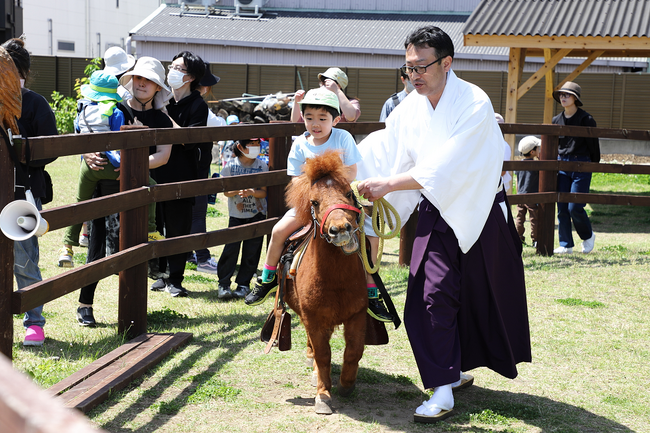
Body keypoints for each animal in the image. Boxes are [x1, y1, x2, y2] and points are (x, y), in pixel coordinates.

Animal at [283, 149, 368, 415]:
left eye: (349, 193)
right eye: (314, 202)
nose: (340, 229)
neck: (335, 278)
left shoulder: (357, 314)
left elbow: (354, 350)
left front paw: (347, 384)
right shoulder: (314, 318)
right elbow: (322, 356)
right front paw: (323, 395)